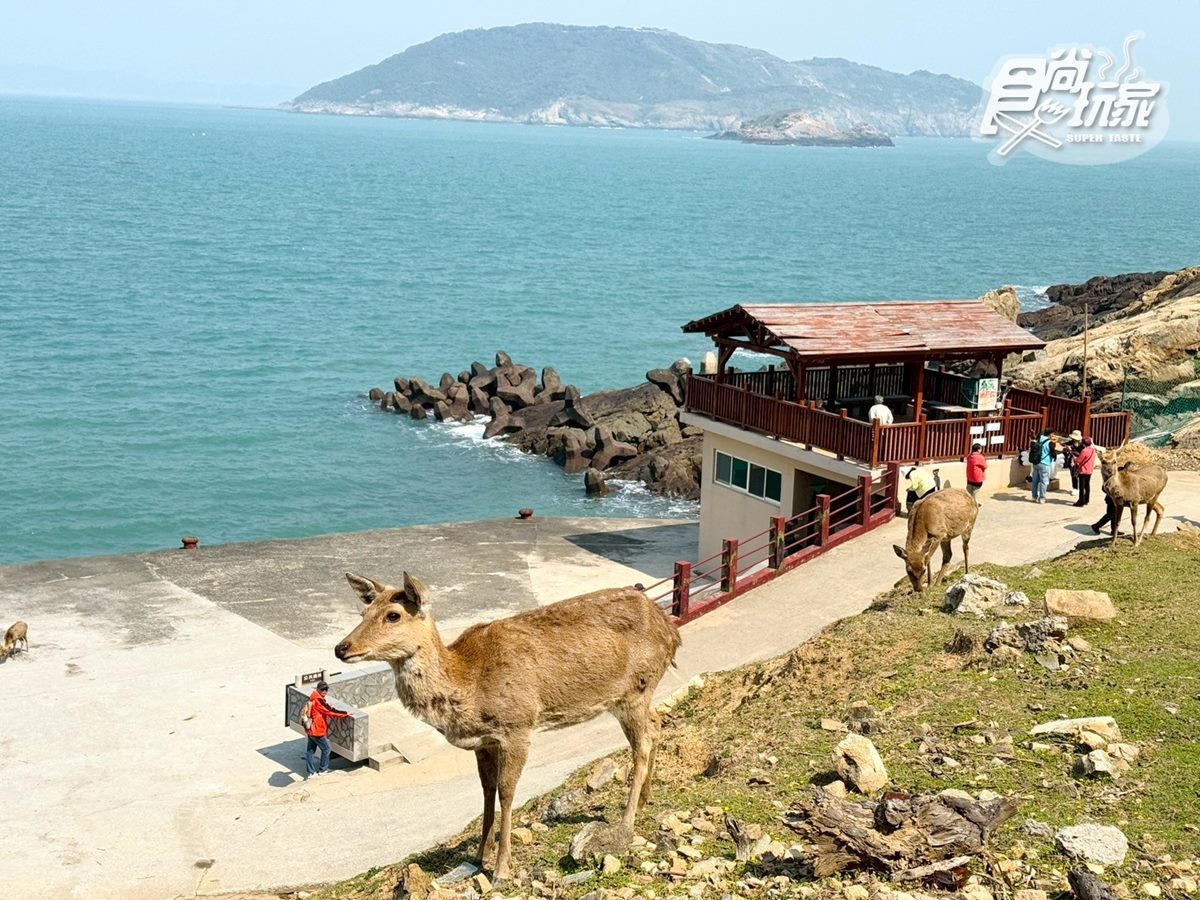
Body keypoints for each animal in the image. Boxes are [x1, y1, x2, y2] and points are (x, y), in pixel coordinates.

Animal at [334, 573, 681, 882]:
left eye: (393, 615)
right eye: (363, 613)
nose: (341, 648)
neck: (468, 683)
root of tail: (671, 631)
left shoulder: (518, 726)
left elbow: (507, 791)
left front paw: (501, 868)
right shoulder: (484, 742)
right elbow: (486, 791)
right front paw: (478, 857)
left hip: (635, 689)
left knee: (641, 744)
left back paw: (626, 821)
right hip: (635, 697)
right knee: (656, 725)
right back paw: (646, 798)